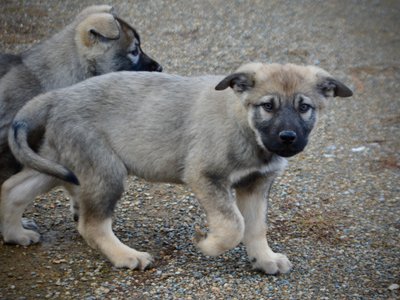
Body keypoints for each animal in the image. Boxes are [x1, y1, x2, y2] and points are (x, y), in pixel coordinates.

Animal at [0, 62, 350, 274]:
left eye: (304, 108)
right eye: (268, 106)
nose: (288, 138)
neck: (244, 124)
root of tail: (56, 96)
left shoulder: (256, 184)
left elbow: (255, 226)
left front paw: (264, 258)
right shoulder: (205, 176)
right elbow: (233, 224)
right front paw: (208, 244)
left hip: (59, 163)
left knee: (13, 189)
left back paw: (15, 234)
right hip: (104, 171)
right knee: (92, 224)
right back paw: (126, 256)